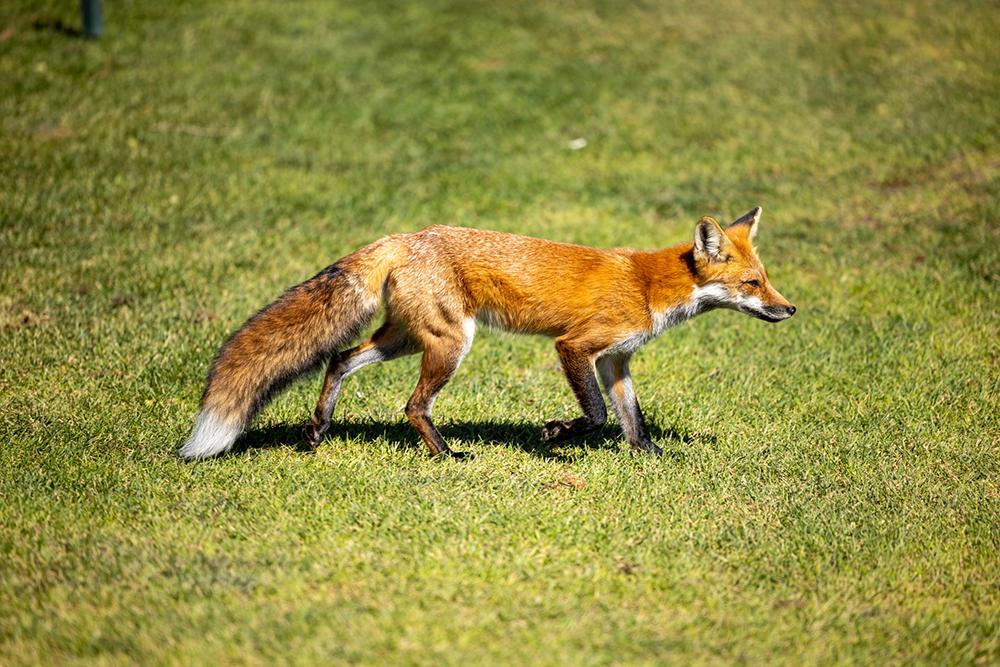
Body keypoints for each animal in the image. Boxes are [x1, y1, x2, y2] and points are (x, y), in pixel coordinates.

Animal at [176, 207, 792, 460]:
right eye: (753, 283)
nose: (789, 309)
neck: (648, 286)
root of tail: (405, 236)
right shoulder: (575, 347)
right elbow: (595, 415)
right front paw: (556, 434)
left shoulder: (617, 360)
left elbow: (630, 417)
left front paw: (651, 455)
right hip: (450, 344)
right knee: (412, 405)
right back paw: (447, 456)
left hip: (407, 338)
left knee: (340, 359)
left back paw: (318, 428)